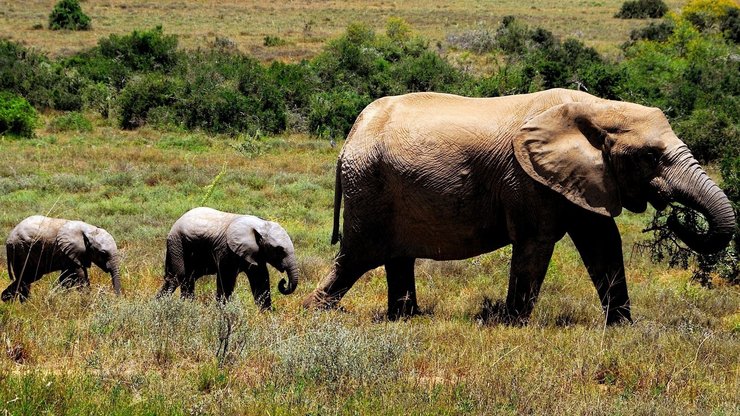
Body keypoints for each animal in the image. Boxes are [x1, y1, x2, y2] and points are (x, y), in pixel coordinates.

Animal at [158, 206, 300, 308]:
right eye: (279, 250)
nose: (283, 282)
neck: (260, 225)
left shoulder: (255, 253)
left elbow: (260, 280)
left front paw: (266, 315)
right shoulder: (226, 251)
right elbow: (226, 280)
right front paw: (223, 311)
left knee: (183, 279)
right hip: (177, 245)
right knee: (178, 277)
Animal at [304, 88, 736, 324]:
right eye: (650, 156)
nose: (676, 216)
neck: (597, 108)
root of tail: (351, 136)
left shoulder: (582, 176)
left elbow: (603, 243)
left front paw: (621, 328)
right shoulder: (527, 180)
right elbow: (535, 243)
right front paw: (512, 325)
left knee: (394, 258)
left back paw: (405, 319)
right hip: (369, 185)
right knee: (357, 257)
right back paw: (315, 313)